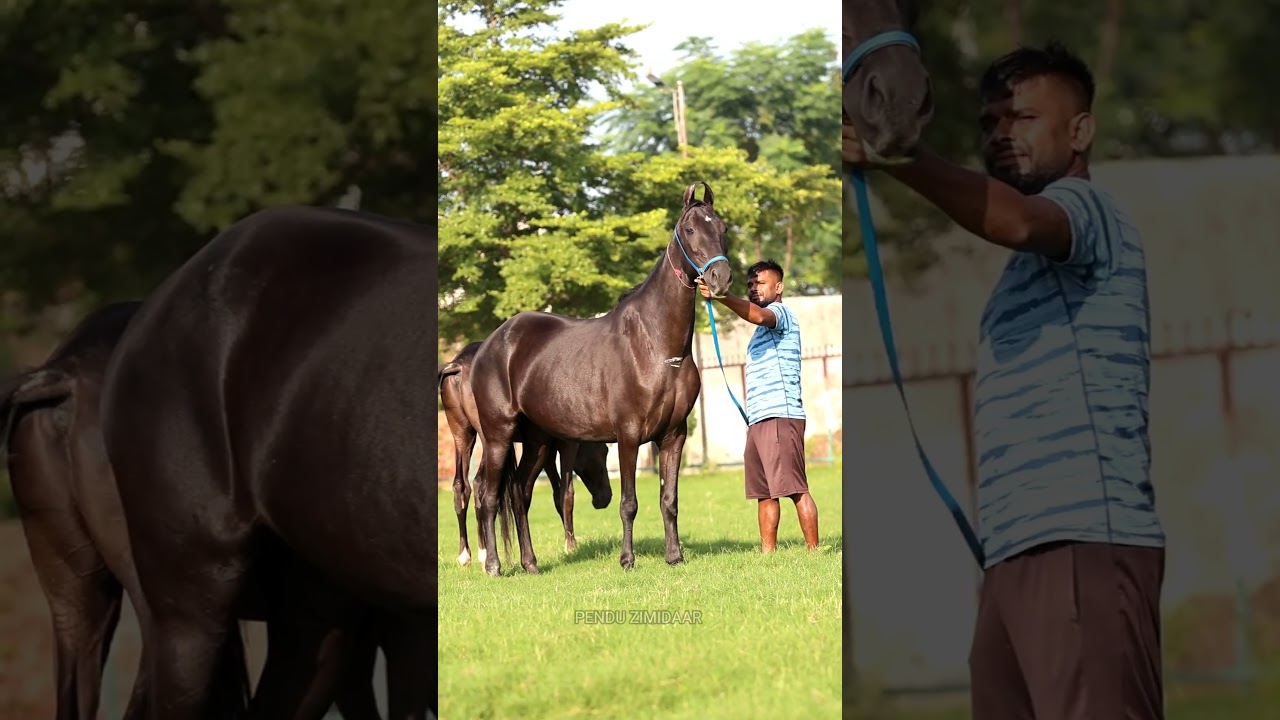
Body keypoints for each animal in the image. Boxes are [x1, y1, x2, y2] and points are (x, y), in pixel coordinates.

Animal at [438, 340, 612, 566]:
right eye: (604, 450)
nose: (604, 498)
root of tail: (457, 365)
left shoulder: (545, 448)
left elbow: (552, 494)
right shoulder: (565, 445)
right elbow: (565, 494)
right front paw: (570, 545)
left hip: (462, 435)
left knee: (463, 487)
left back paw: (469, 554)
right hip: (491, 440)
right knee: (480, 485)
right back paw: (486, 555)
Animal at [469, 181, 731, 577]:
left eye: (722, 228)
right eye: (689, 229)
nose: (721, 278)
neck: (656, 346)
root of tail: (490, 344)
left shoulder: (674, 436)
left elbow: (668, 499)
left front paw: (674, 556)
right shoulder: (628, 436)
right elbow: (628, 503)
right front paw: (627, 560)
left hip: (537, 441)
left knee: (520, 496)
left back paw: (531, 564)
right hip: (497, 436)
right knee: (488, 495)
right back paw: (494, 566)